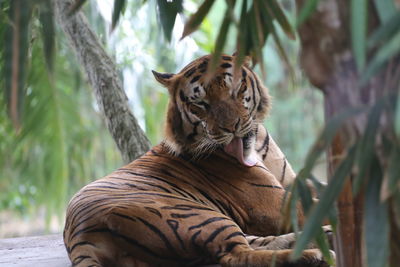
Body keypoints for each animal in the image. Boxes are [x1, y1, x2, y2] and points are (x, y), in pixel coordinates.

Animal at [63, 54, 332, 267]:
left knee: (253, 243)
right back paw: (313, 255)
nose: (231, 127)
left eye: (235, 90)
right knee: (236, 255)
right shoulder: (276, 204)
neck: (254, 145)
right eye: (200, 104)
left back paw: (322, 237)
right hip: (197, 215)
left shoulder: (294, 183)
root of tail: (78, 236)